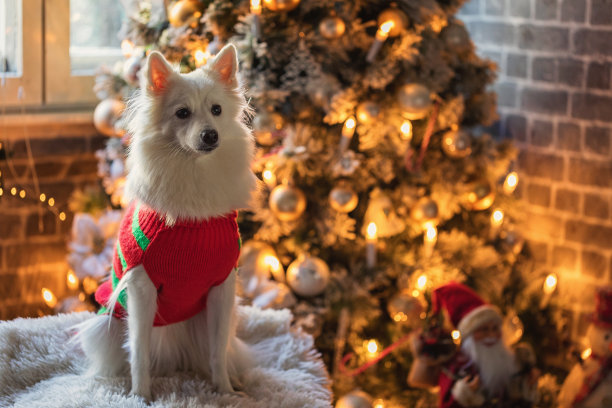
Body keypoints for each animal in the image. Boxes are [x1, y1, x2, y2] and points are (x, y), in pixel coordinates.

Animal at [74, 43, 258, 398]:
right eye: (182, 113)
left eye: (216, 110)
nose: (210, 135)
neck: (193, 170)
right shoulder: (141, 290)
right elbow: (139, 352)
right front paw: (140, 395)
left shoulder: (221, 289)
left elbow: (217, 351)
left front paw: (225, 392)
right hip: (107, 324)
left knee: (219, 351)